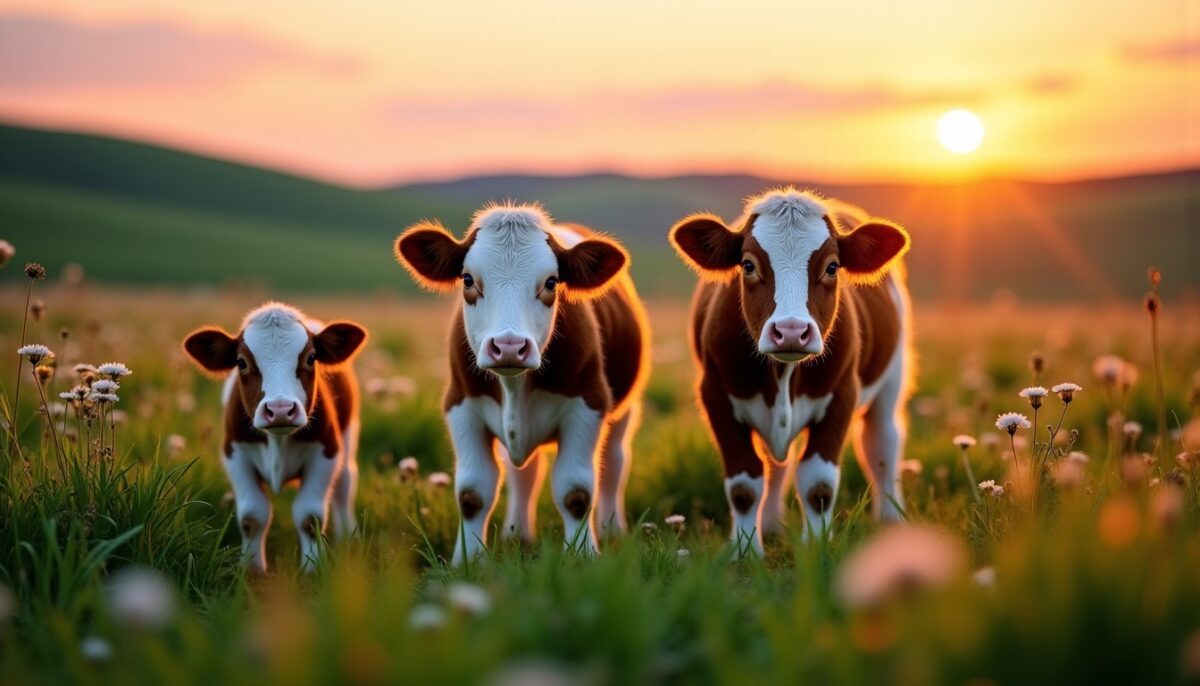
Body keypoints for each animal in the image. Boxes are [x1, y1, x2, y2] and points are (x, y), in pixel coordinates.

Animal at [183, 303, 368, 573]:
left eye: (311, 358)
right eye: (241, 362)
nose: (280, 409)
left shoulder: (326, 452)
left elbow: (309, 516)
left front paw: (312, 568)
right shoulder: (234, 453)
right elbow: (252, 515)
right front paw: (253, 569)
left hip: (347, 436)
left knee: (344, 482)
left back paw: (348, 537)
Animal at [394, 202, 650, 565]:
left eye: (551, 282)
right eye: (468, 279)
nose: (509, 347)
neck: (515, 389)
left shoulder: (588, 404)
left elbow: (576, 491)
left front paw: (584, 555)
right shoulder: (460, 406)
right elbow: (472, 492)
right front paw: (468, 560)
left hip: (624, 410)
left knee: (614, 463)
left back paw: (613, 530)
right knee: (523, 474)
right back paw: (518, 534)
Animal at [669, 188, 912, 555]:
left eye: (832, 267)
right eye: (748, 265)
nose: (792, 331)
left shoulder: (842, 394)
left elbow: (818, 484)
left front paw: (817, 547)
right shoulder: (715, 395)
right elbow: (744, 485)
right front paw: (745, 552)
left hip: (891, 377)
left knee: (882, 442)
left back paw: (891, 521)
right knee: (776, 465)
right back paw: (769, 525)